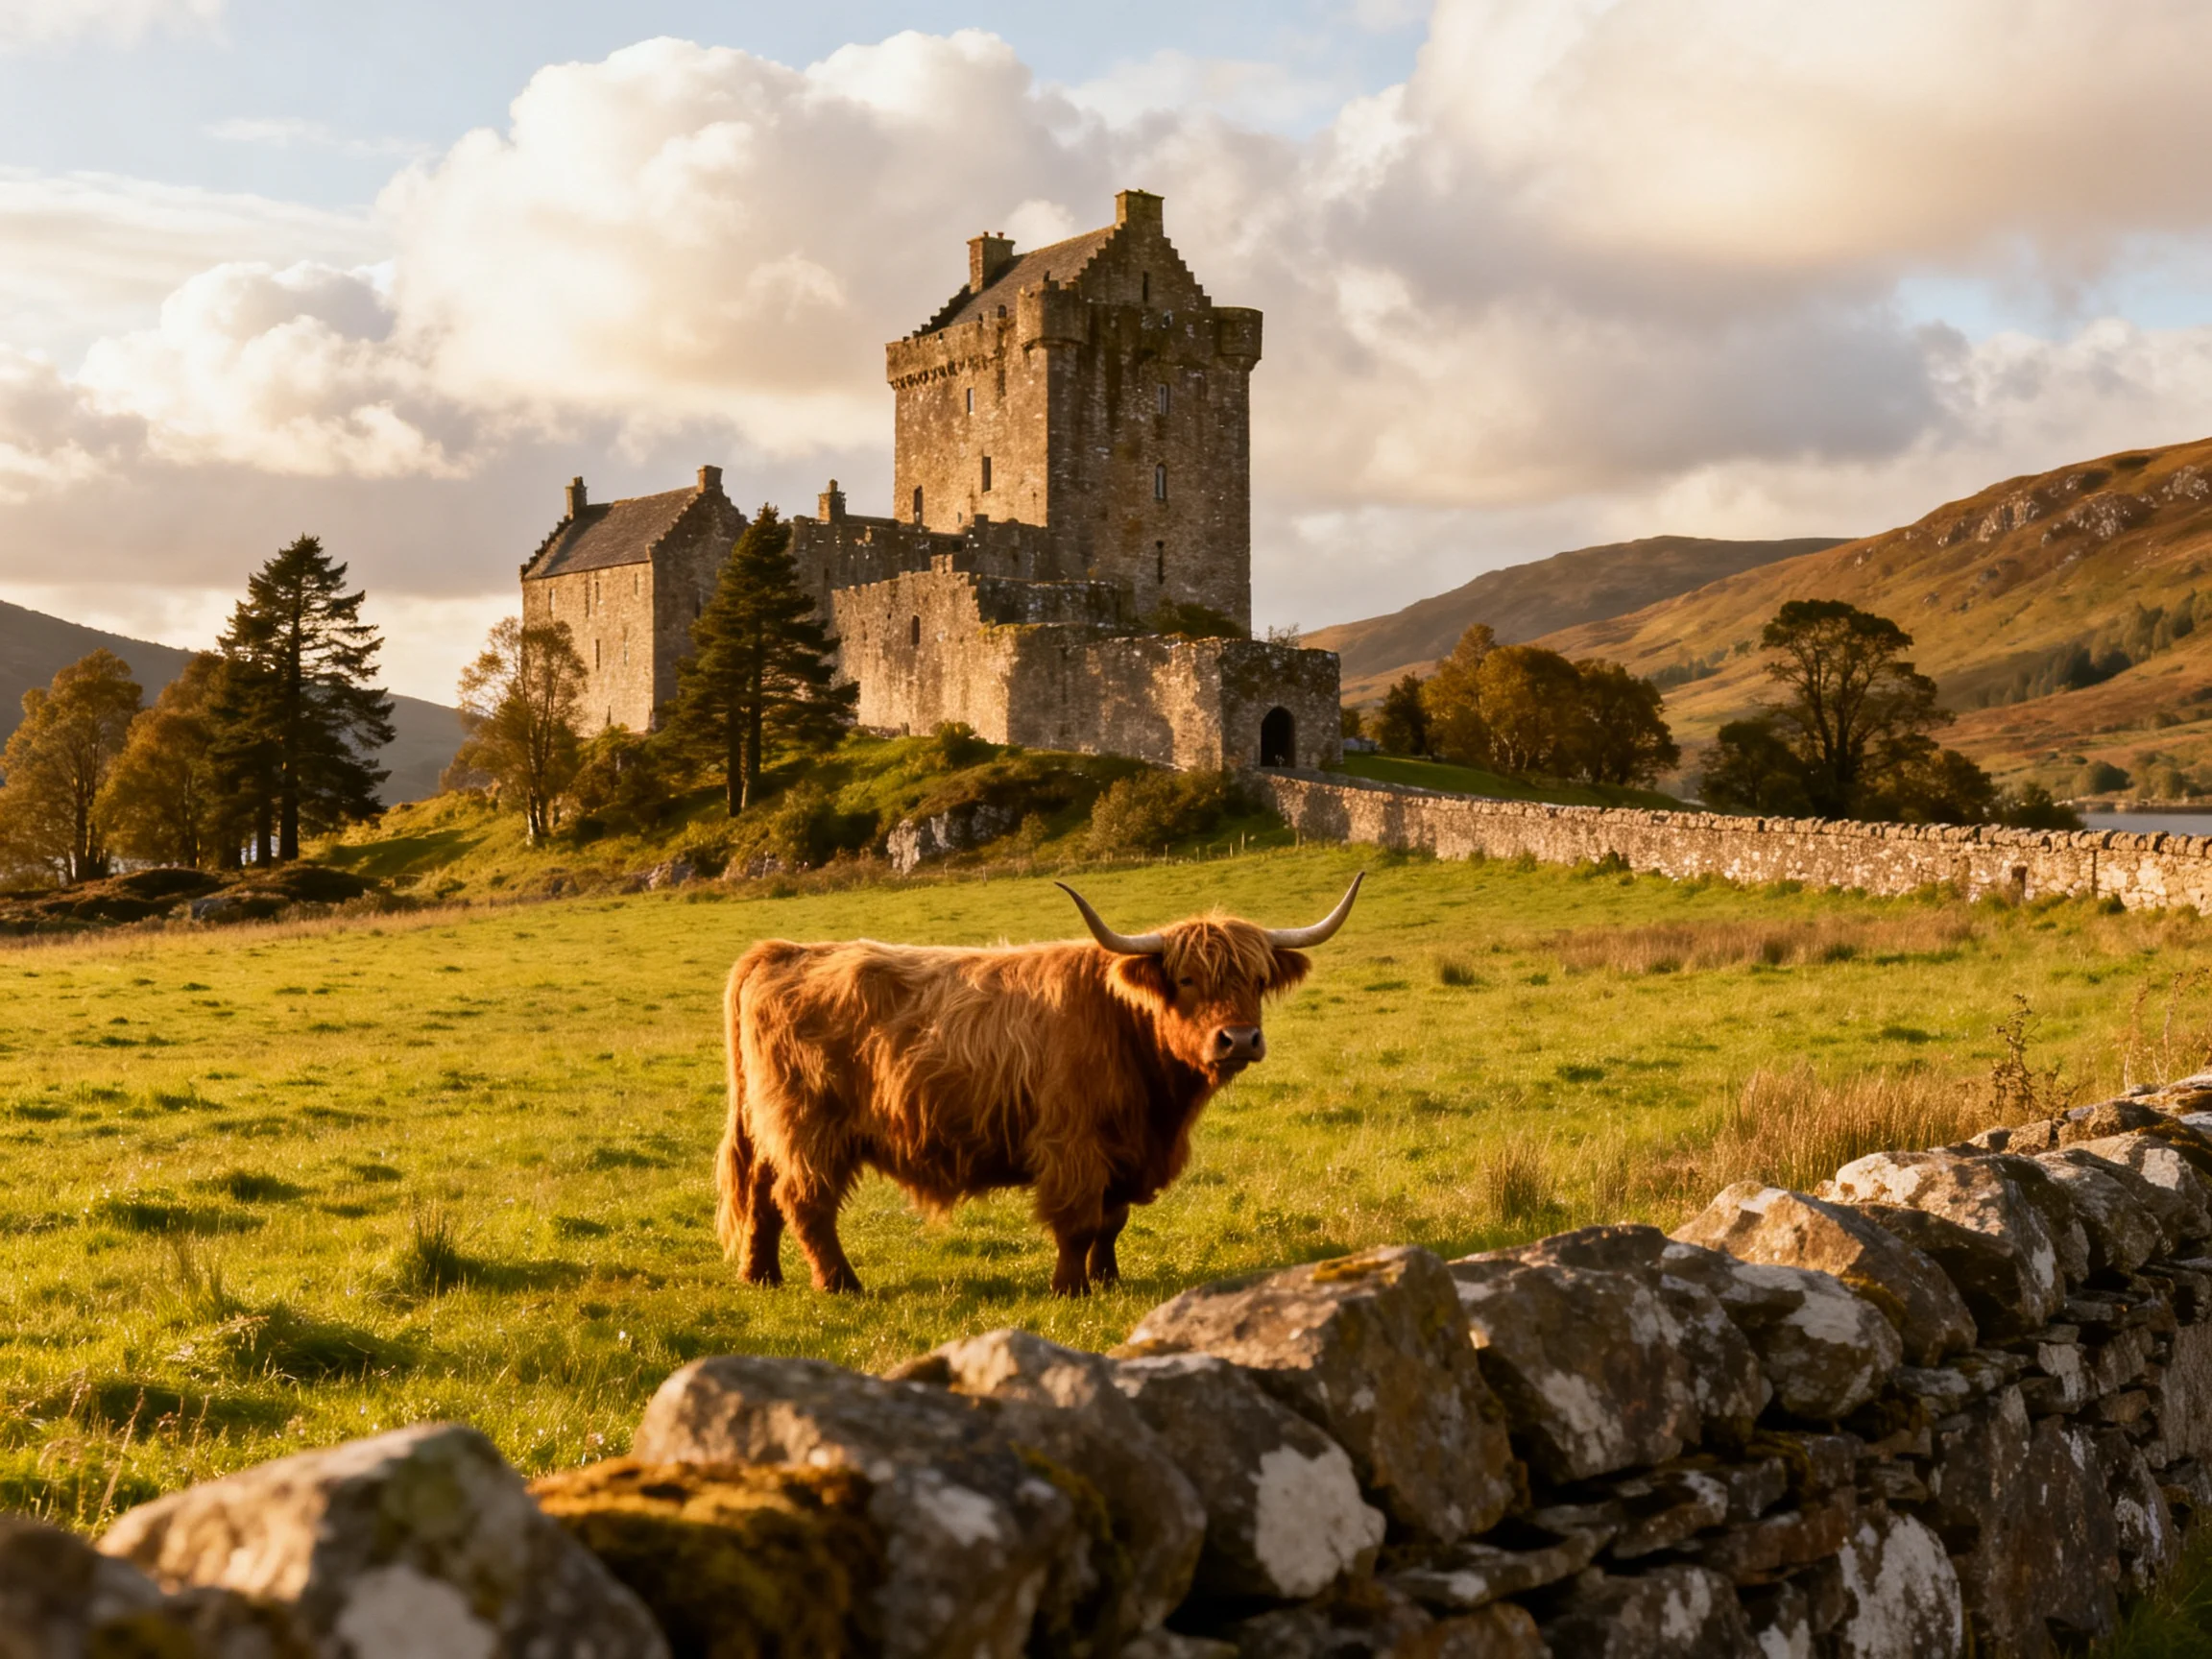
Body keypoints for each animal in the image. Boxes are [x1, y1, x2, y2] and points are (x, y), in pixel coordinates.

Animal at [713, 874, 1363, 1295]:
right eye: (1186, 979)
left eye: (1257, 978)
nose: (1240, 1039)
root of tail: (781, 951)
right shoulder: (1073, 1145)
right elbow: (1078, 1222)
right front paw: (1070, 1289)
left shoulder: (1124, 1149)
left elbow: (1112, 1221)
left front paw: (1109, 1279)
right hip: (809, 1126)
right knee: (806, 1202)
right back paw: (841, 1285)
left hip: (768, 1121)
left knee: (763, 1192)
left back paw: (761, 1275)